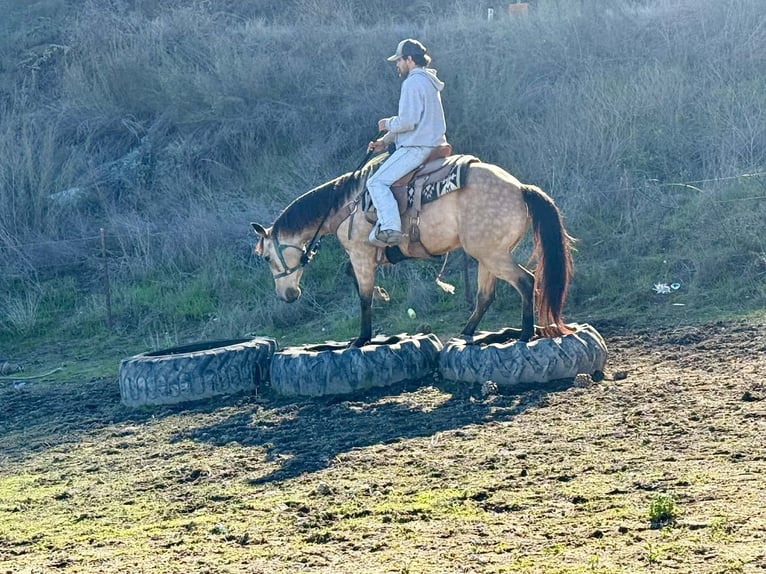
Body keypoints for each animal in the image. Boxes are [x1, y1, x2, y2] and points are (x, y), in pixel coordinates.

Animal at [252, 153, 574, 347]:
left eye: (267, 257)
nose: (287, 295)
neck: (346, 204)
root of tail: (520, 188)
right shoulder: (364, 258)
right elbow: (355, 281)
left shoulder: (360, 254)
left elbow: (364, 297)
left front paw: (361, 339)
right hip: (487, 255)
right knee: (486, 296)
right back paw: (468, 333)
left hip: (493, 256)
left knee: (526, 281)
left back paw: (524, 334)